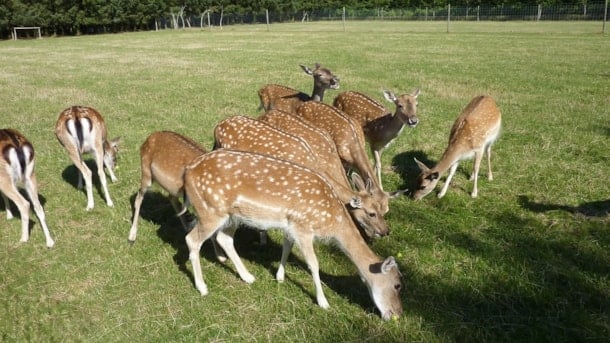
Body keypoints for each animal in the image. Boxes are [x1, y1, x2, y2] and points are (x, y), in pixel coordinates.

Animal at [180, 150, 402, 320]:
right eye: (398, 285)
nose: (396, 314)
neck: (331, 221)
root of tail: (187, 173)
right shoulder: (303, 226)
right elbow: (313, 264)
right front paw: (323, 302)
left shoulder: (291, 225)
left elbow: (287, 247)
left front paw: (279, 276)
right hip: (210, 210)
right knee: (191, 239)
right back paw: (202, 287)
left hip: (231, 216)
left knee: (224, 238)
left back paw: (248, 277)